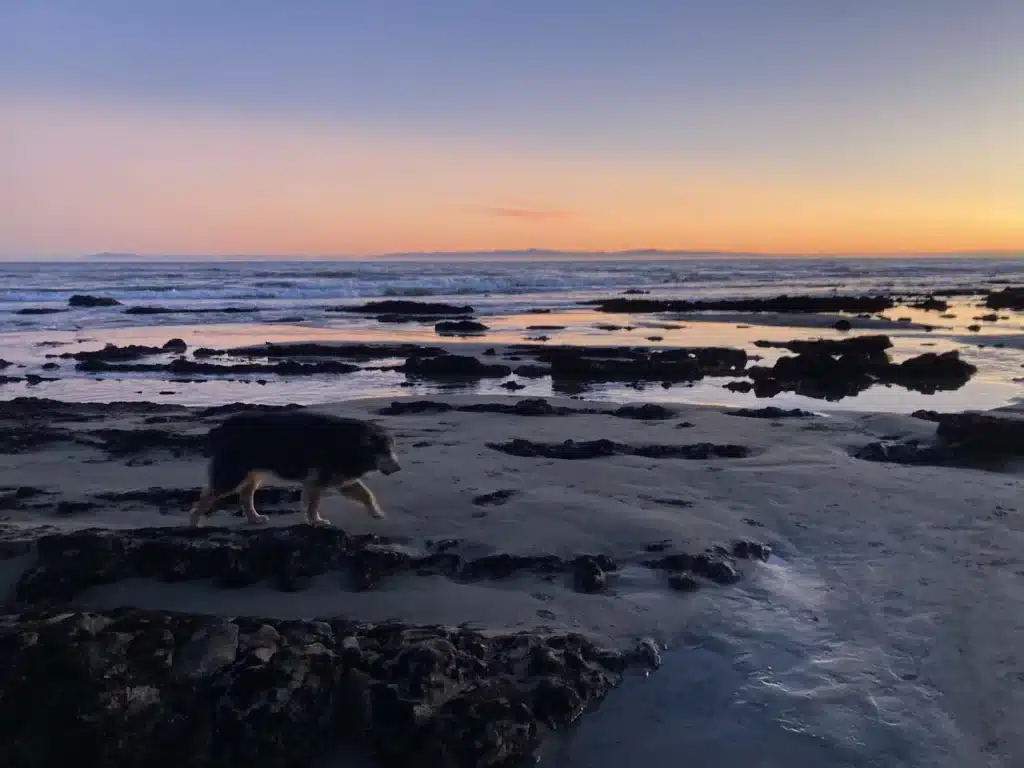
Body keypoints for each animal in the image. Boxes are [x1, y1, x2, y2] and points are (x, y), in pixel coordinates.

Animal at [188, 409, 399, 528]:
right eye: (386, 452)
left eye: (391, 450)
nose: (398, 468)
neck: (353, 443)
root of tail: (222, 427)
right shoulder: (317, 480)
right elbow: (313, 504)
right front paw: (316, 521)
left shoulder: (341, 478)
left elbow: (366, 494)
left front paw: (376, 513)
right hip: (232, 474)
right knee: (208, 495)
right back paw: (194, 521)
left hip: (251, 474)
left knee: (245, 495)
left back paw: (254, 518)